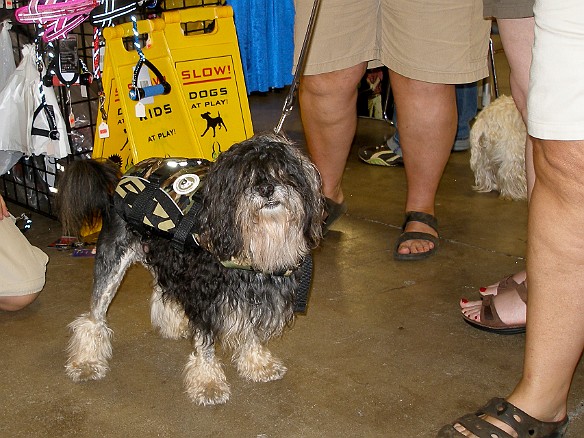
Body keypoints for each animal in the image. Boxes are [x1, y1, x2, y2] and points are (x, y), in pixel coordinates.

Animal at [58, 133, 324, 404]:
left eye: (282, 171)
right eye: (245, 176)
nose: (266, 189)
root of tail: (116, 191)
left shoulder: (249, 295)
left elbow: (250, 332)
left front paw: (257, 364)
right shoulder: (204, 295)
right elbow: (205, 344)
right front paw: (208, 383)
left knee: (162, 290)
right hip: (112, 264)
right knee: (94, 317)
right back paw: (86, 362)